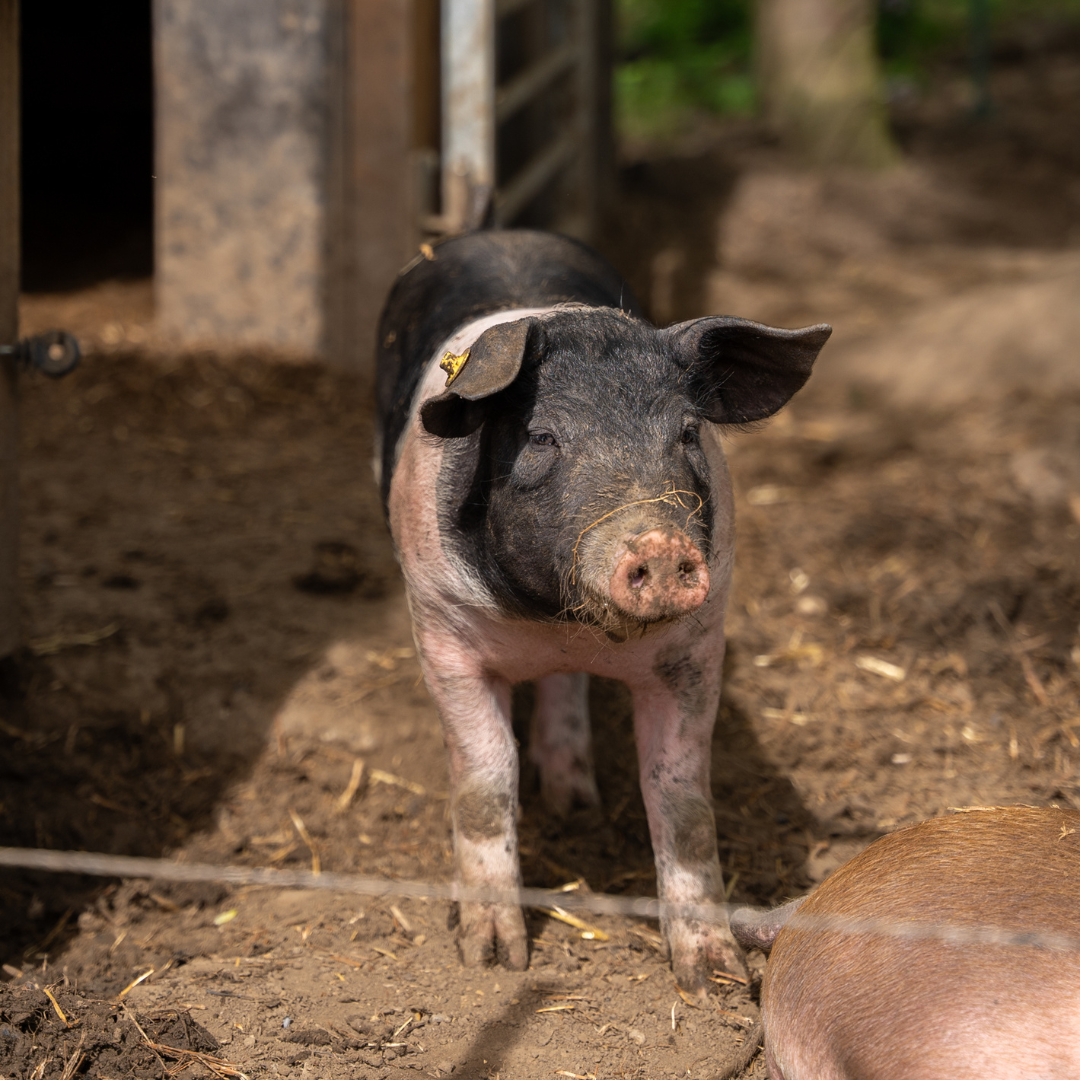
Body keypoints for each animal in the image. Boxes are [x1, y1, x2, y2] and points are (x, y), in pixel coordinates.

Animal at [375, 230, 829, 993]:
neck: (560, 622)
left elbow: (681, 795)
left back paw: (575, 802)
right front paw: (495, 960)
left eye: (686, 433)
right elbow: (484, 778)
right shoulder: (441, 630)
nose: (661, 545)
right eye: (540, 437)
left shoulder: (695, 648)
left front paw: (713, 979)